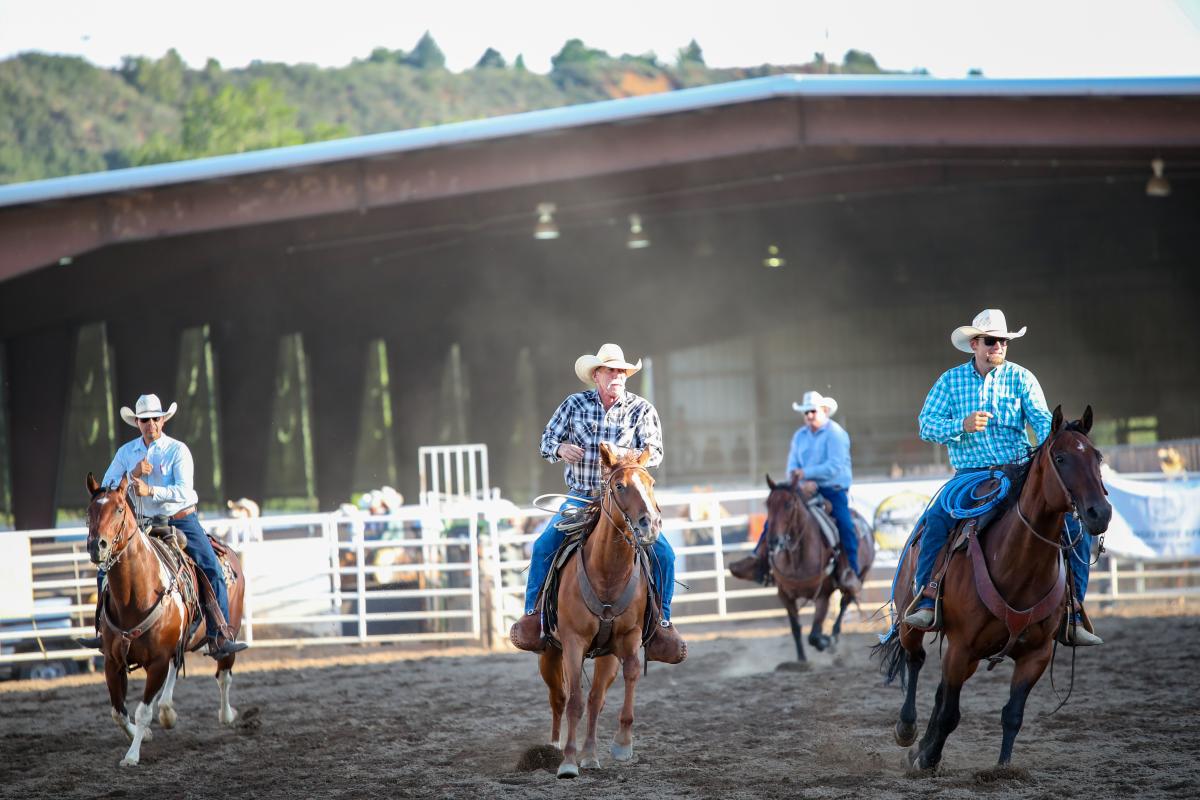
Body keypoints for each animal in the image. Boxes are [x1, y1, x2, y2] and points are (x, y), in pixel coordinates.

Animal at [85, 472, 247, 767]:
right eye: (89, 511)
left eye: (119, 509)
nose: (96, 546)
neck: (135, 596)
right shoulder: (112, 661)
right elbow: (118, 712)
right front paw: (143, 735)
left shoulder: (157, 661)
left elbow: (142, 711)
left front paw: (132, 755)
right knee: (178, 666)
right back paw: (168, 710)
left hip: (232, 630)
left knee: (224, 674)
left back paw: (227, 714)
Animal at [537, 441, 662, 777]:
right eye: (619, 486)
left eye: (651, 483)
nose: (650, 525)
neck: (607, 573)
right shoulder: (573, 642)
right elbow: (573, 702)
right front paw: (568, 762)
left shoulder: (628, 637)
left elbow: (630, 675)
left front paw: (622, 744)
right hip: (550, 653)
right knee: (559, 698)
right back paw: (554, 747)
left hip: (605, 655)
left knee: (596, 700)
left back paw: (590, 755)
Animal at [873, 410, 1113, 772]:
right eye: (1061, 458)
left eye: (1097, 457)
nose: (1100, 512)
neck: (1019, 567)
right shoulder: (961, 647)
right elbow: (950, 714)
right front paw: (927, 758)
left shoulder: (1036, 654)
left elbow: (1012, 715)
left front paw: (1001, 769)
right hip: (909, 622)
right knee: (915, 659)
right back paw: (907, 730)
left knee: (940, 689)